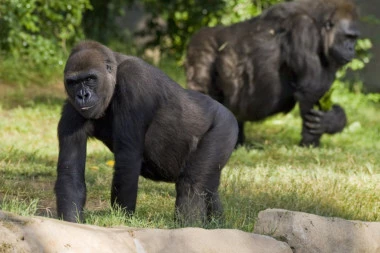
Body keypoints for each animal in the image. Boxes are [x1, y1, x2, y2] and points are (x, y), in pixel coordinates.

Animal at [54, 40, 238, 224]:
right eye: (73, 82)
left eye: (90, 79)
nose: (82, 95)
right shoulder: (71, 109)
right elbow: (70, 172)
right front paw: (71, 222)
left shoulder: (134, 81)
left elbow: (127, 160)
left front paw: (122, 218)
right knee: (209, 187)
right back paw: (216, 223)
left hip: (225, 126)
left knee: (192, 184)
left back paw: (189, 225)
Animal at [186, 0, 360, 146]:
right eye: (348, 37)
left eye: (354, 38)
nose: (351, 49)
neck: (319, 23)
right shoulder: (304, 28)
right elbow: (312, 90)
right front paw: (310, 142)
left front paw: (333, 120)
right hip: (201, 47)